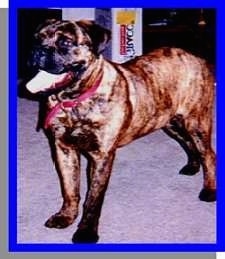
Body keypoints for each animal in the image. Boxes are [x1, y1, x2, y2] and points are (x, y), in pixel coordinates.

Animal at [26, 19, 216, 244]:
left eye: (65, 41)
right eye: (37, 38)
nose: (37, 50)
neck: (75, 101)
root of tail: (198, 57)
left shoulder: (101, 157)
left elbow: (93, 199)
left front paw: (86, 232)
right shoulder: (64, 149)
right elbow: (70, 189)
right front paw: (66, 216)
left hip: (196, 123)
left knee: (209, 154)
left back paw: (209, 190)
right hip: (168, 122)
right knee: (188, 144)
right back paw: (192, 166)